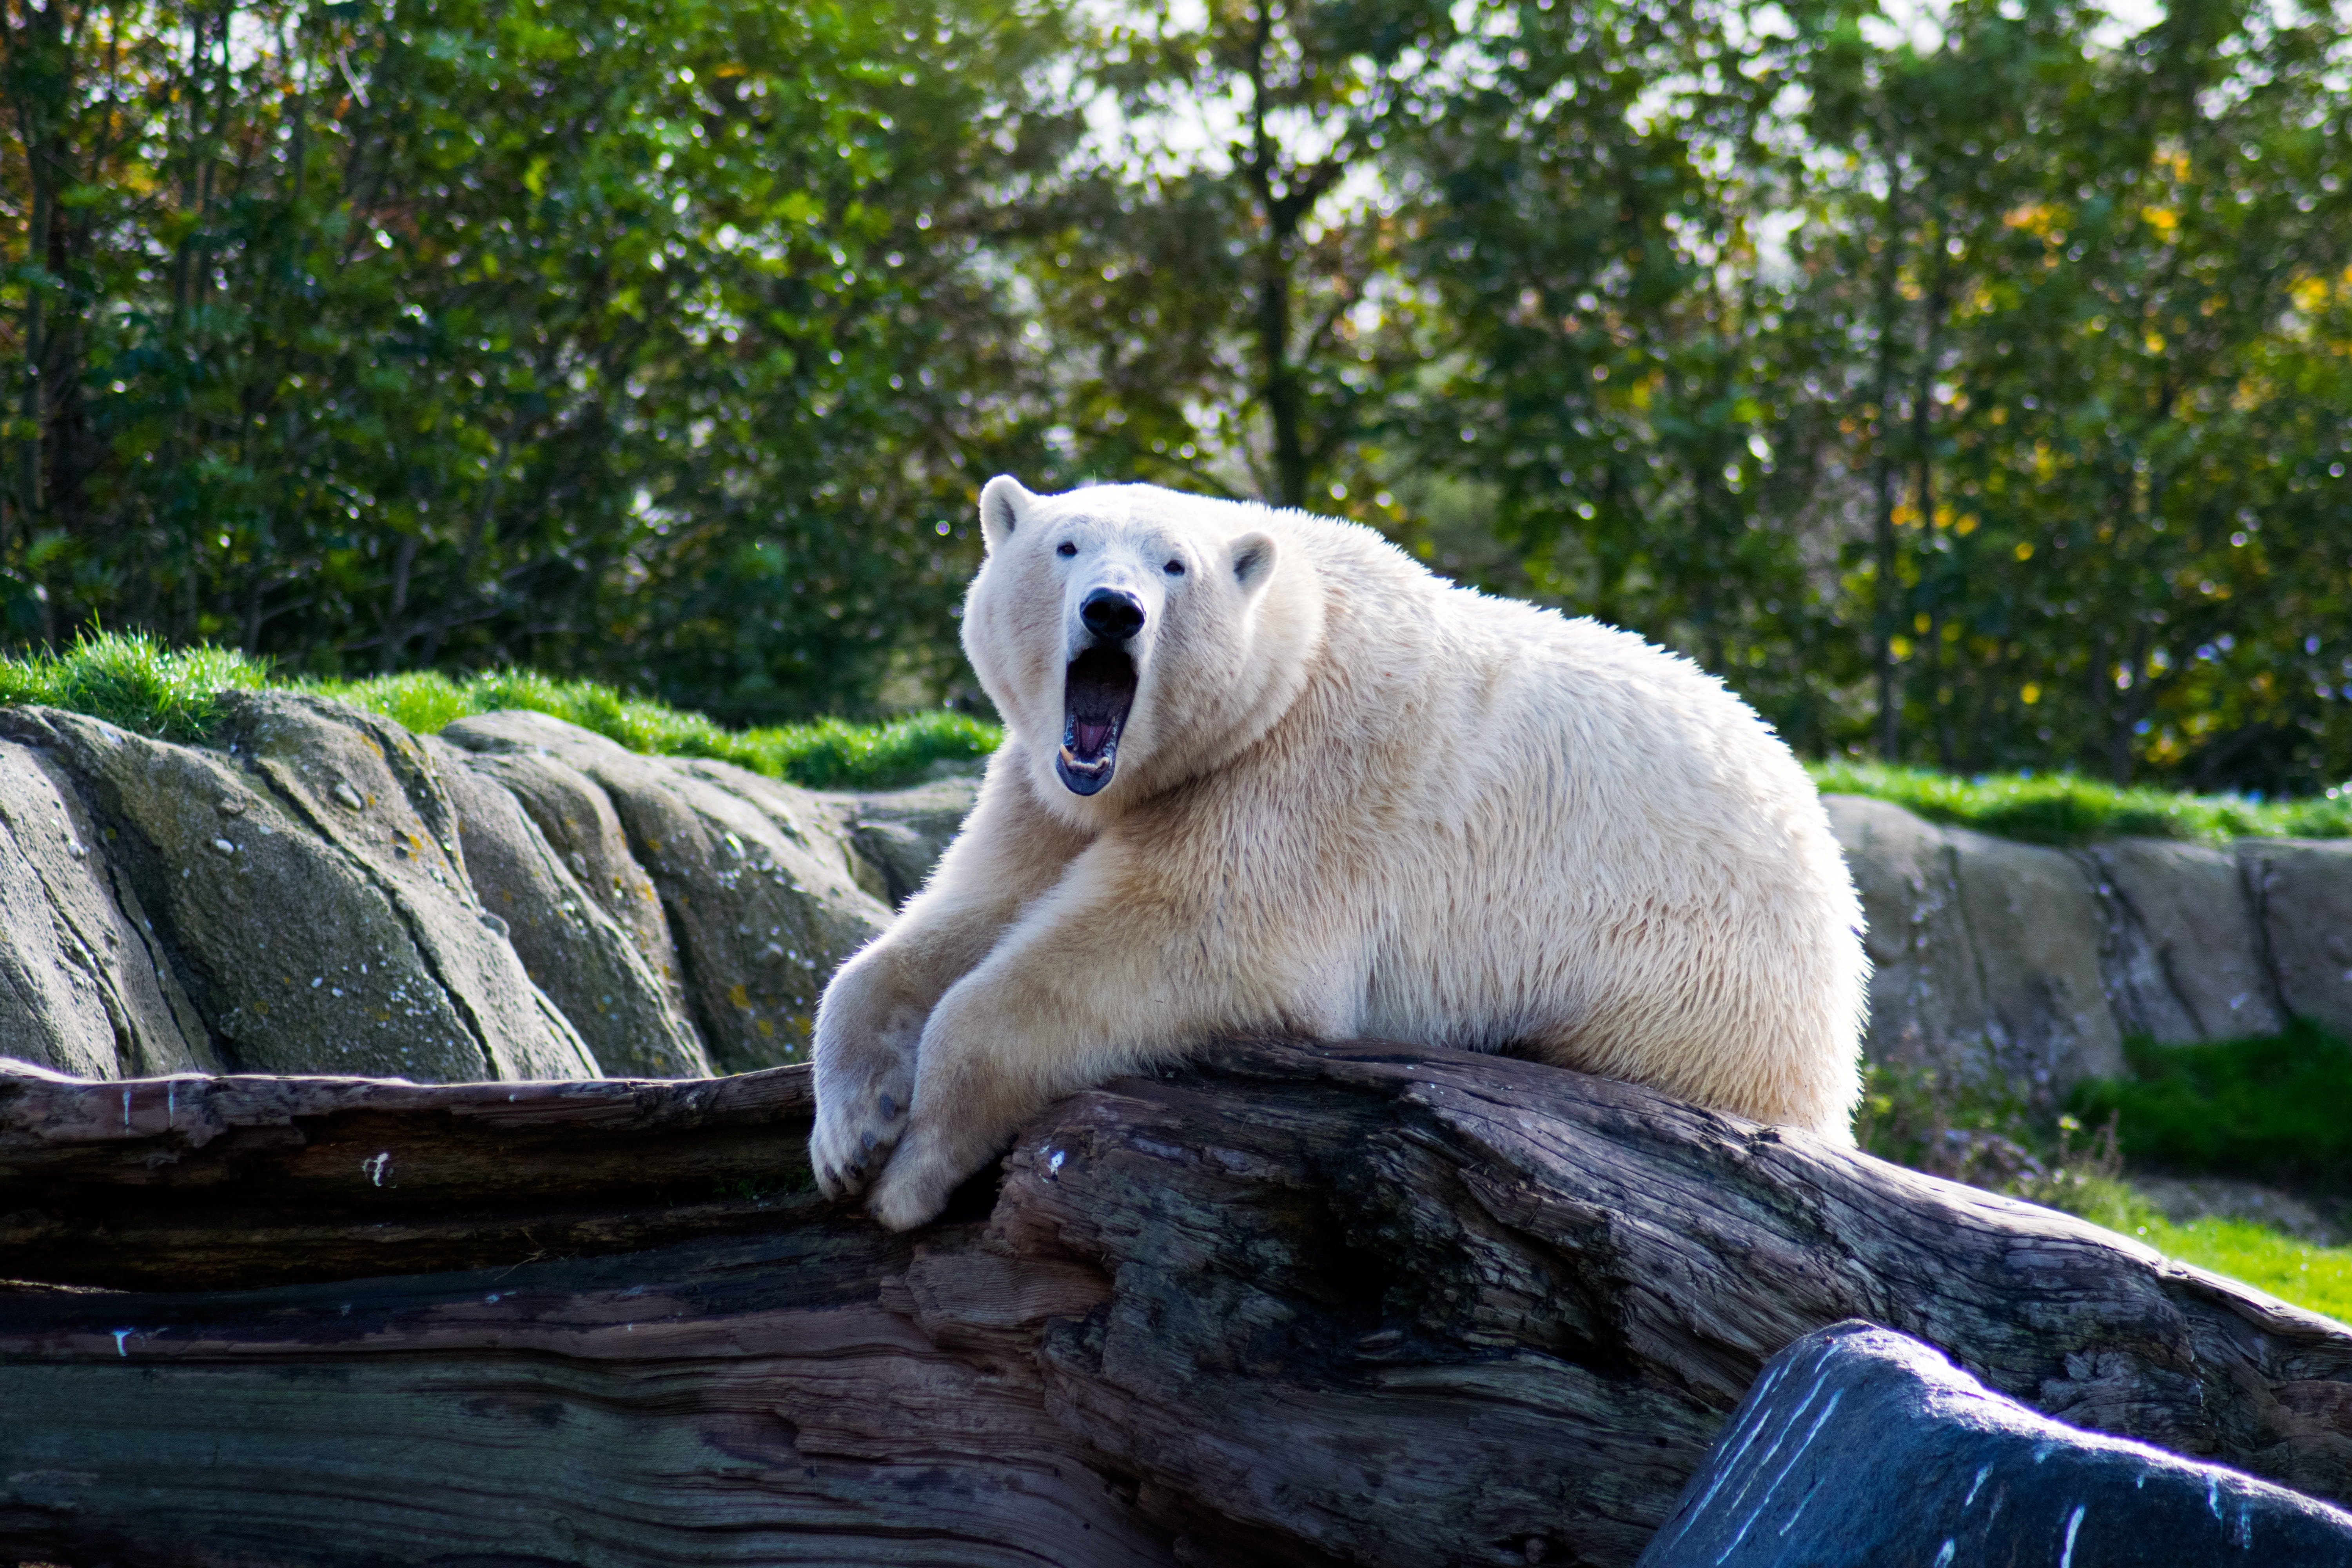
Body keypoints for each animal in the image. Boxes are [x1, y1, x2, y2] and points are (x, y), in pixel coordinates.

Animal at [810, 476, 1870, 1231]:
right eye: (1065, 544)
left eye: (1174, 565)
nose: (1113, 609)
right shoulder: (1049, 798)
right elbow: (958, 921)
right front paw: (849, 1130)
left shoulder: (1307, 772)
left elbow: (1176, 937)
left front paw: (913, 1167)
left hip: (1699, 977)